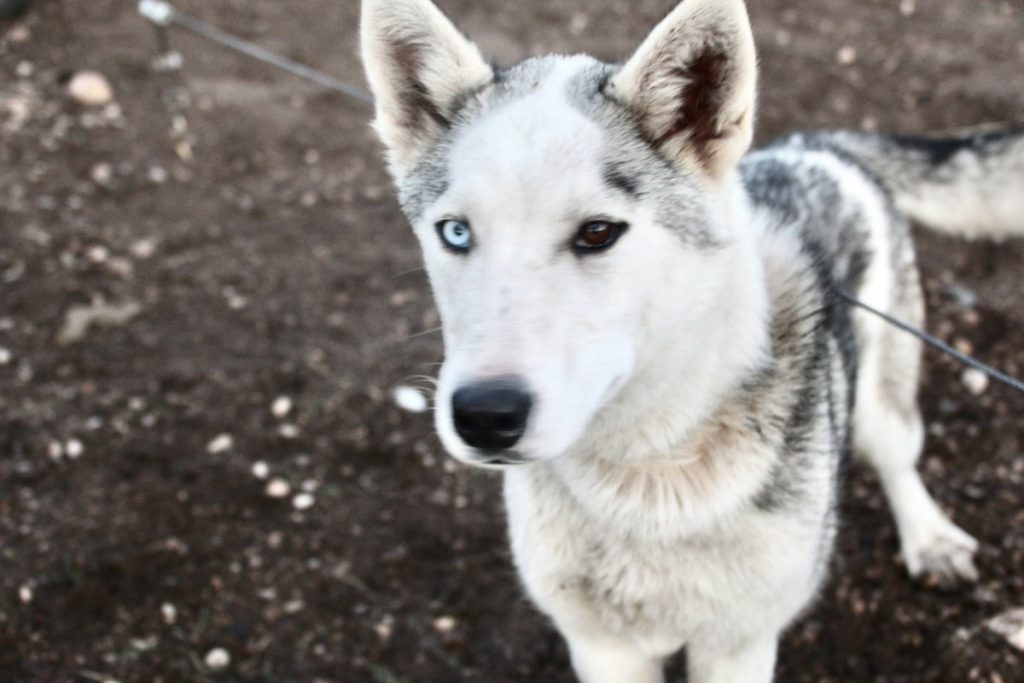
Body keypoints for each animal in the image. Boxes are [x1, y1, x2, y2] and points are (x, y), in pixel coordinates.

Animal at [362, 2, 1024, 679]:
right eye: (456, 233)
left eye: (598, 232)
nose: (485, 416)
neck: (646, 471)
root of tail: (815, 146)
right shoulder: (601, 645)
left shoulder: (739, 643)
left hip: (881, 391)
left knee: (897, 456)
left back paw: (930, 538)